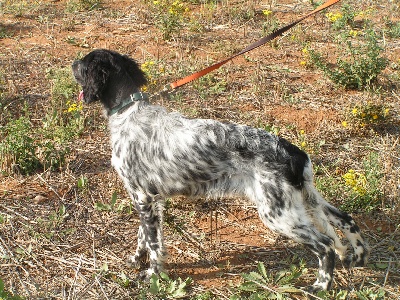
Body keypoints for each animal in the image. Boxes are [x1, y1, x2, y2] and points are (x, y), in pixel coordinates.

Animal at [72, 48, 368, 290]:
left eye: (84, 64)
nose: (72, 63)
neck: (128, 113)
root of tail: (294, 153)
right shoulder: (149, 200)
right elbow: (143, 236)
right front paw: (136, 260)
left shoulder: (143, 197)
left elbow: (154, 244)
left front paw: (152, 275)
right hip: (303, 199)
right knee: (345, 219)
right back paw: (359, 257)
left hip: (278, 214)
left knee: (325, 246)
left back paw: (321, 285)